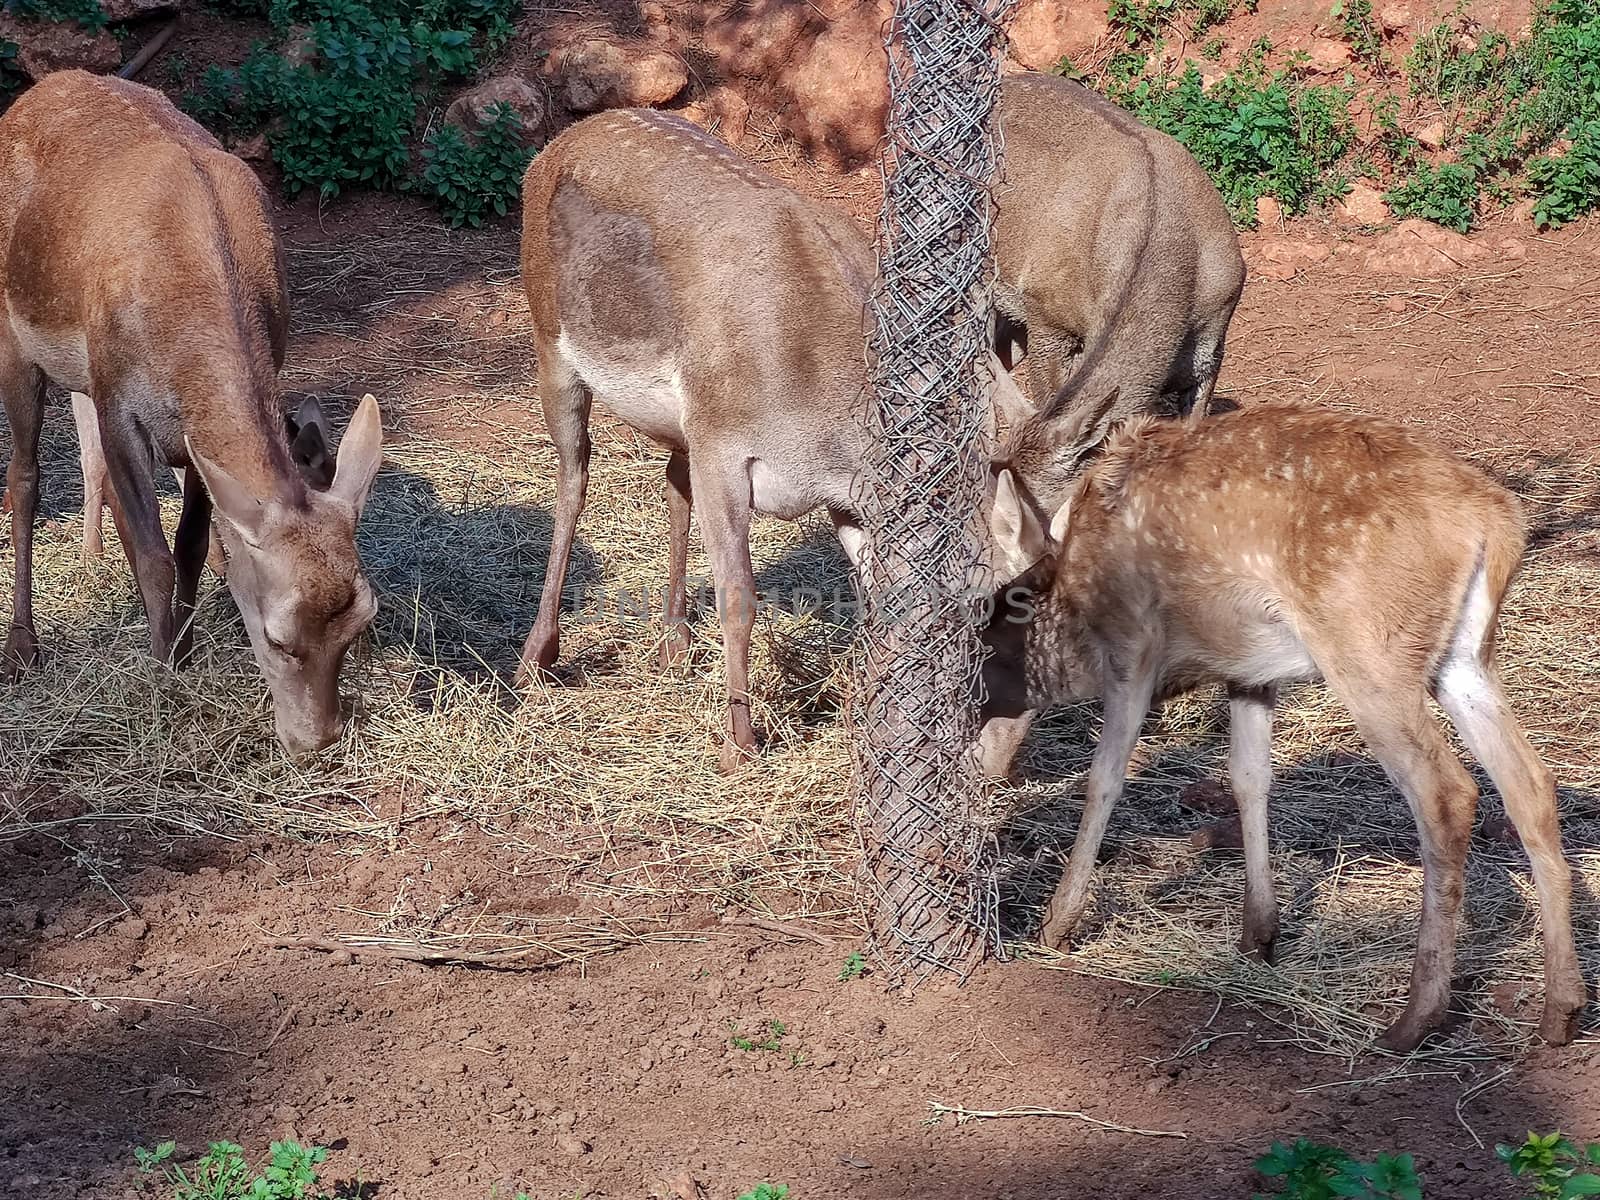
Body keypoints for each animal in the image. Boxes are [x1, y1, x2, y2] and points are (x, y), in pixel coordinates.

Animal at [1, 70, 382, 755]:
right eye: (279, 637)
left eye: (362, 619)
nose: (318, 740)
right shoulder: (121, 401)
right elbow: (154, 553)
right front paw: (165, 667)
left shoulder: (191, 436)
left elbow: (191, 543)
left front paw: (183, 642)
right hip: (16, 340)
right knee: (25, 476)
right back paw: (23, 644)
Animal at [518, 110, 1024, 771]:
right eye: (982, 606)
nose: (996, 759)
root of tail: (552, 149)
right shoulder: (724, 445)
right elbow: (739, 597)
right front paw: (740, 742)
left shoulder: (842, 499)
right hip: (551, 340)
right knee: (573, 479)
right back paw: (537, 654)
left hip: (679, 420)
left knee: (672, 482)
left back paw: (674, 643)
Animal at [985, 404, 1587, 1049]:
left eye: (988, 624)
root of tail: (1497, 524)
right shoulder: (1248, 672)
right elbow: (1249, 777)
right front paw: (1259, 934)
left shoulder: (1131, 646)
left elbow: (1105, 779)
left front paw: (1057, 923)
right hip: (1463, 657)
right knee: (1530, 783)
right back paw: (1561, 1010)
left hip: (1367, 647)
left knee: (1447, 792)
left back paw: (1416, 1017)